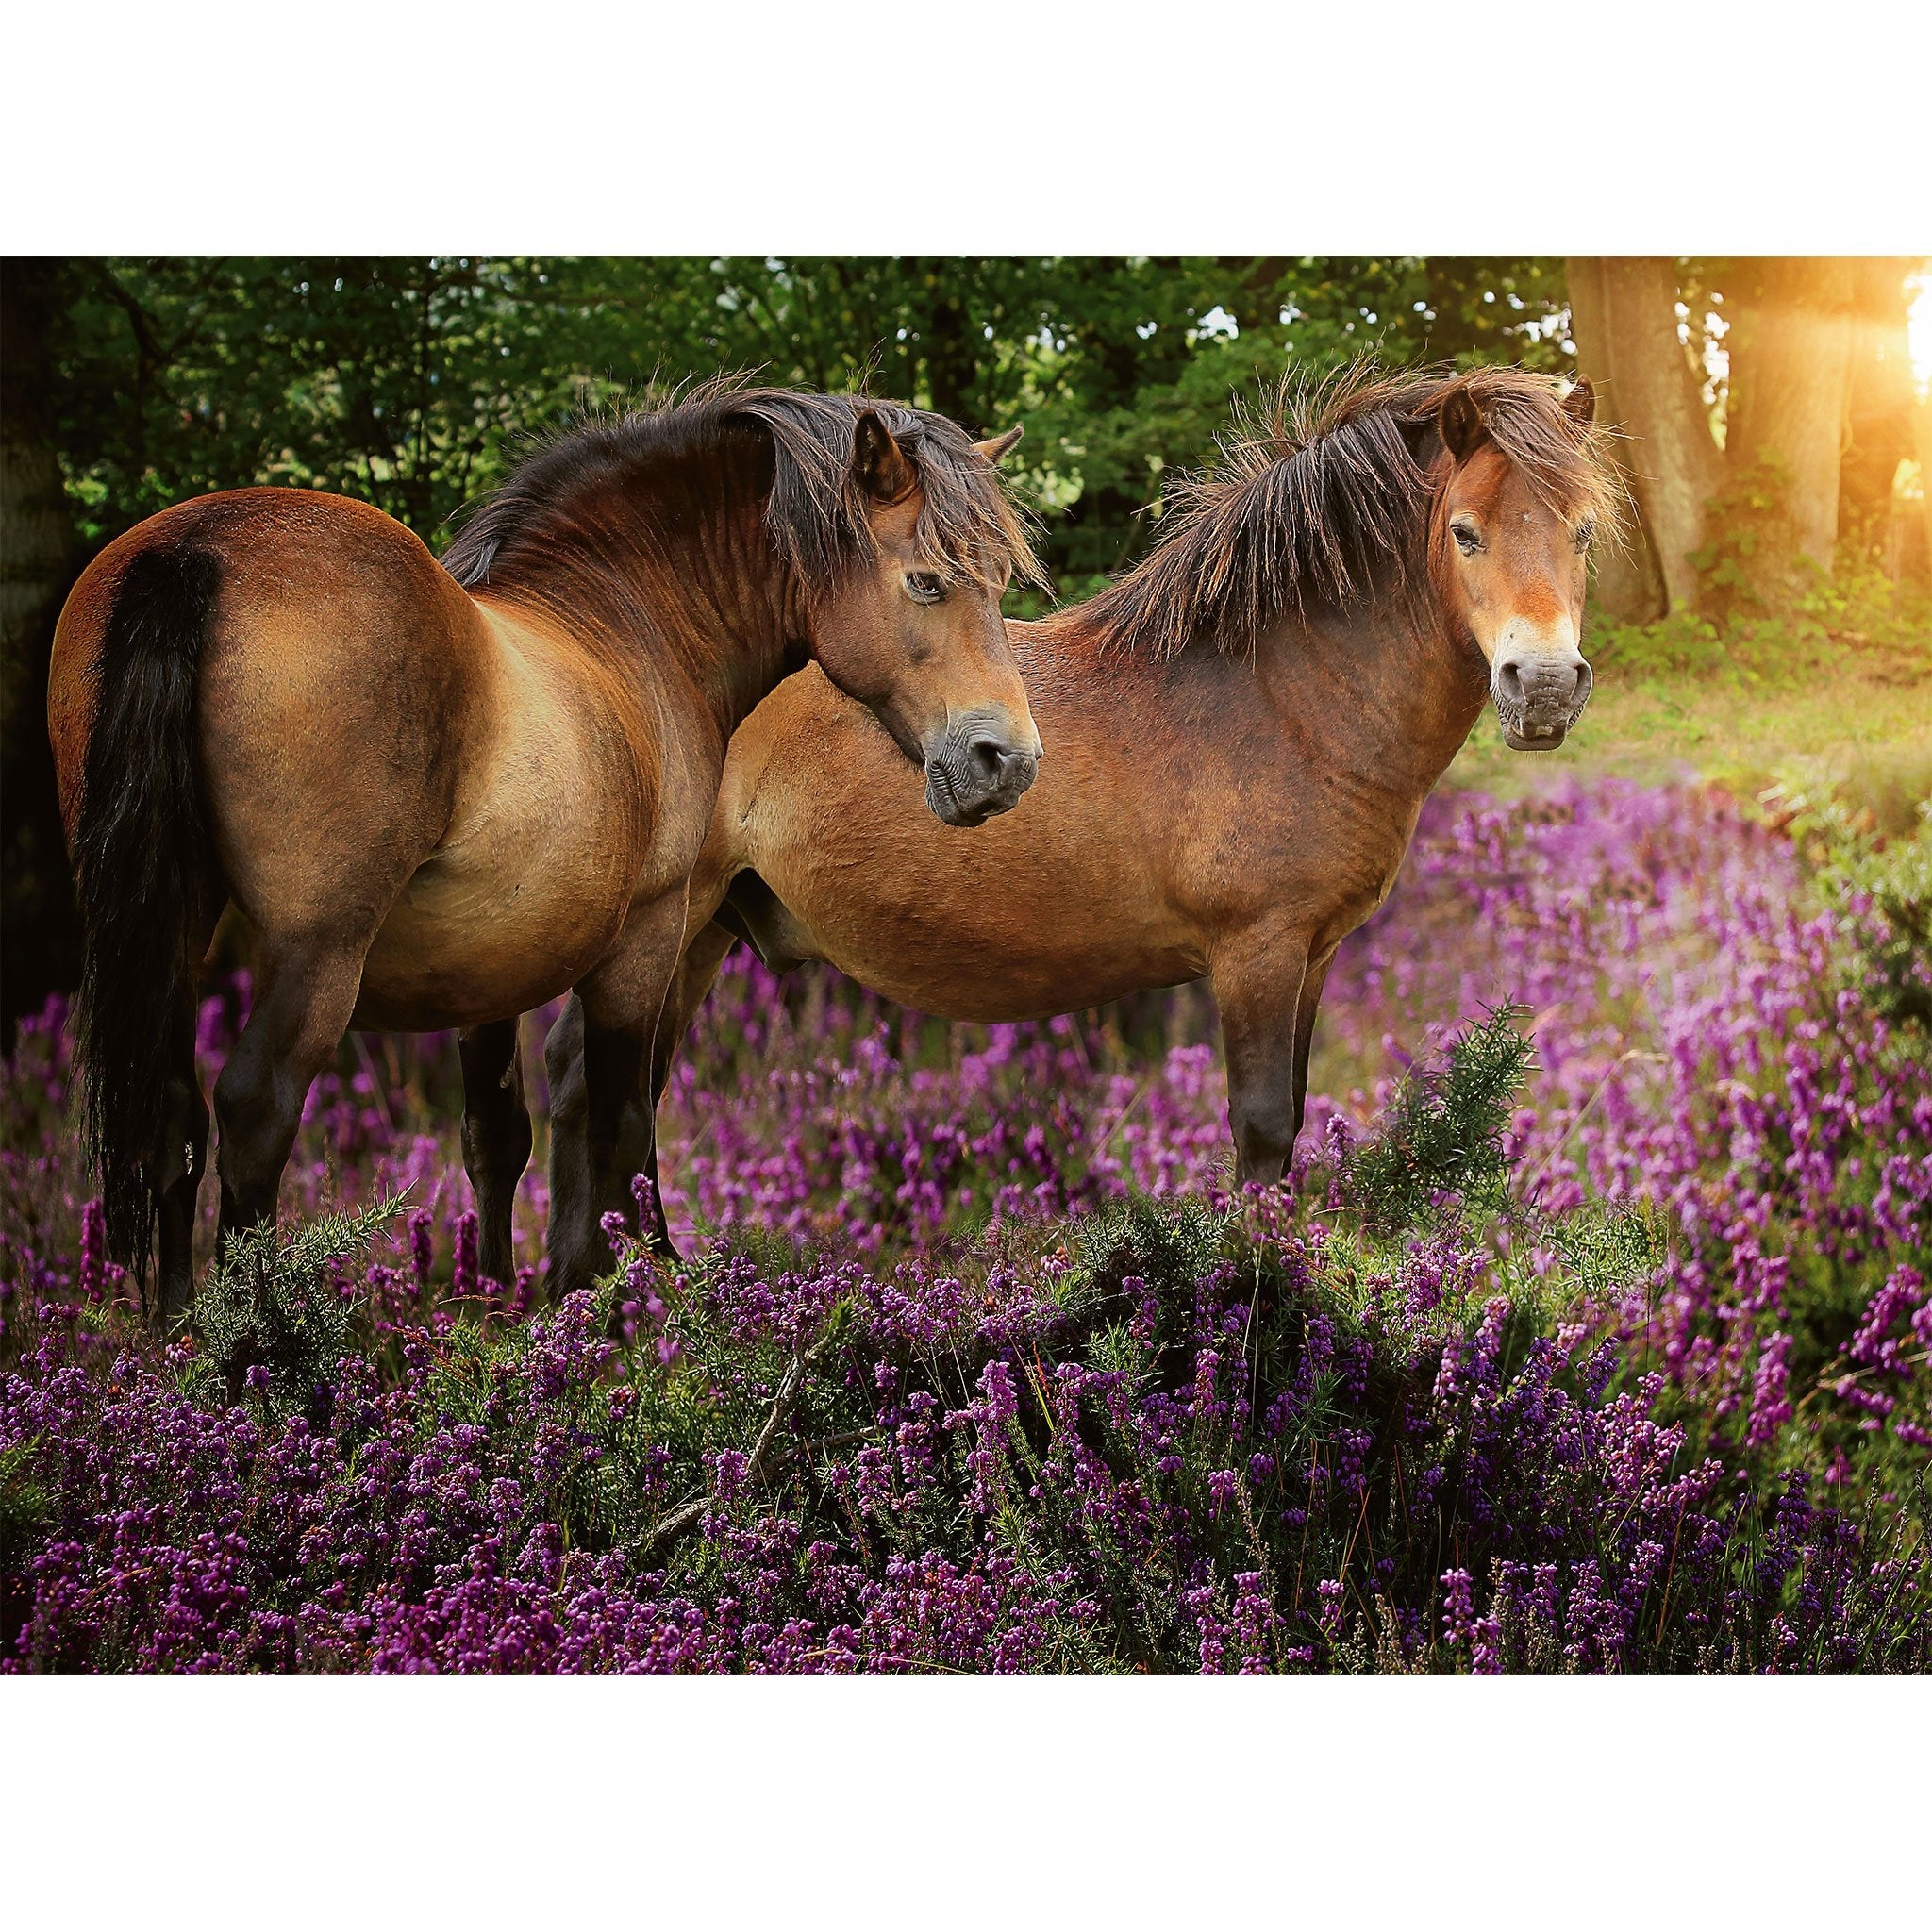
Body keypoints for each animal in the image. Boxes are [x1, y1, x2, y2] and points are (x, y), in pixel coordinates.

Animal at [48, 383, 1044, 1324]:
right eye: (927, 581)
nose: (1009, 761)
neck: (626, 621)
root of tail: (195, 550)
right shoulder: (647, 937)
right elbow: (621, 1118)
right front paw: (624, 1294)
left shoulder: (482, 973)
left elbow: (498, 1137)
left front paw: (495, 1308)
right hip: (317, 952)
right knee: (255, 1112)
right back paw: (256, 1352)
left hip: (175, 928)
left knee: (170, 1116)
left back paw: (182, 1340)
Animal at [652, 366, 1618, 1209]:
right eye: (1465, 532)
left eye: (1580, 533)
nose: (1544, 686)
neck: (1284, 695)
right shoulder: (1256, 953)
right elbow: (1262, 1132)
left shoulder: (1312, 954)